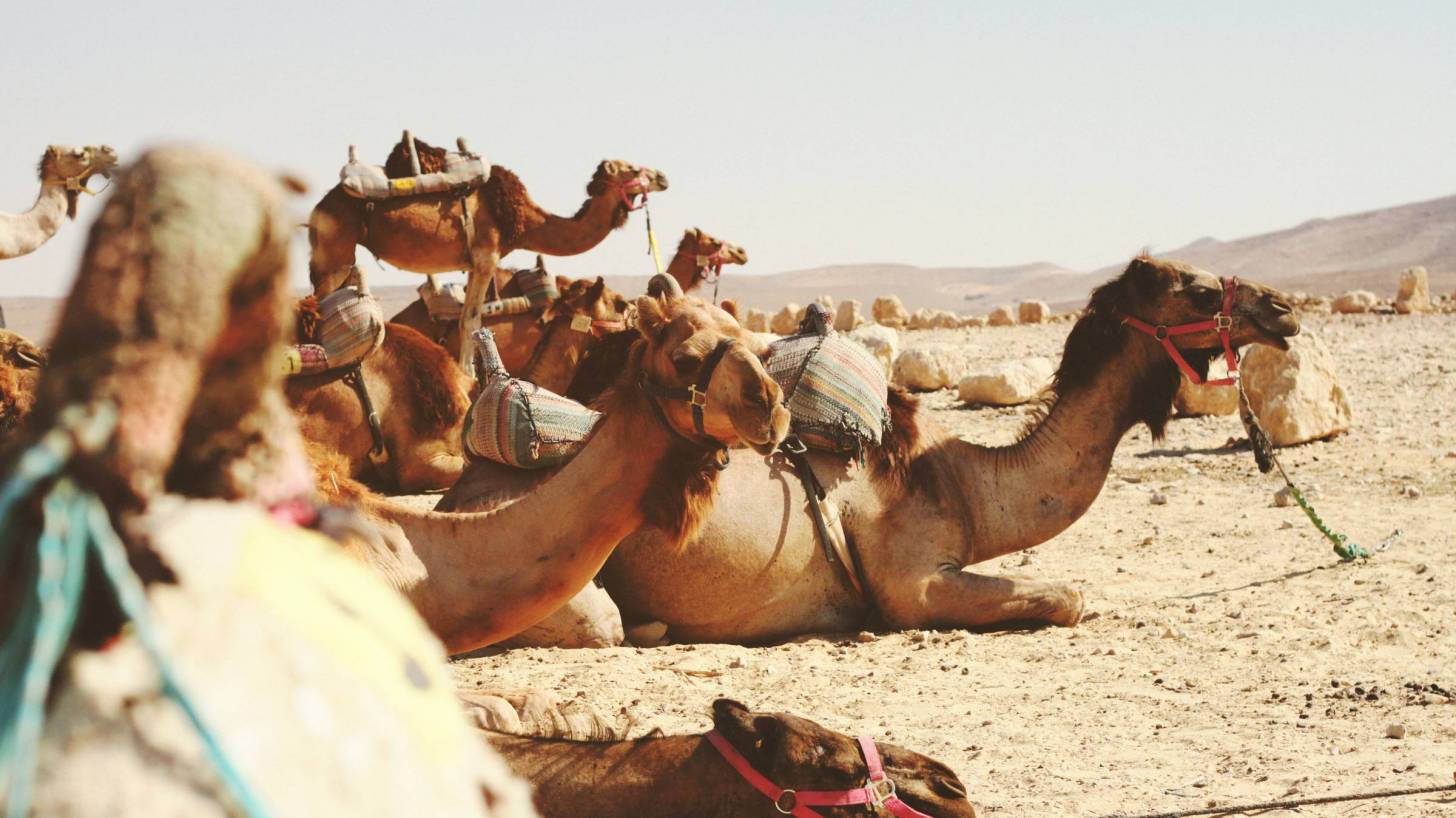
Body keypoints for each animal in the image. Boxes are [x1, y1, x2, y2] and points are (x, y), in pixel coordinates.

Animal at [308, 135, 667, 367]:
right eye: (633, 170)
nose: (662, 176)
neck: (523, 221)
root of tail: (318, 208)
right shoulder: (486, 255)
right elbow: (471, 321)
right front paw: (468, 378)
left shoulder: (472, 263)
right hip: (336, 254)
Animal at [443, 257, 1301, 644]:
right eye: (1196, 289)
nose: (1284, 307)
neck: (960, 482)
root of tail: (458, 498)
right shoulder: (909, 584)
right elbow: (1067, 595)